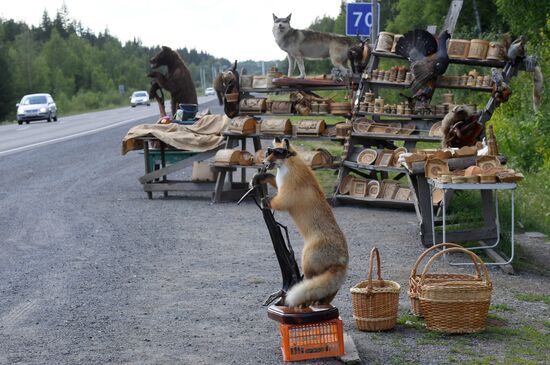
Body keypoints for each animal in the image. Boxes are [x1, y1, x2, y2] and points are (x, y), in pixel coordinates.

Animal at [253, 138, 350, 306]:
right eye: (269, 151)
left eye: (278, 153)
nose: (263, 162)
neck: (288, 168)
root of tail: (342, 261)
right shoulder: (280, 187)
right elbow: (271, 179)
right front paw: (261, 177)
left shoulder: (285, 197)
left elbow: (273, 202)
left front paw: (263, 201)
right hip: (328, 282)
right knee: (326, 295)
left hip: (306, 264)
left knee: (308, 286)